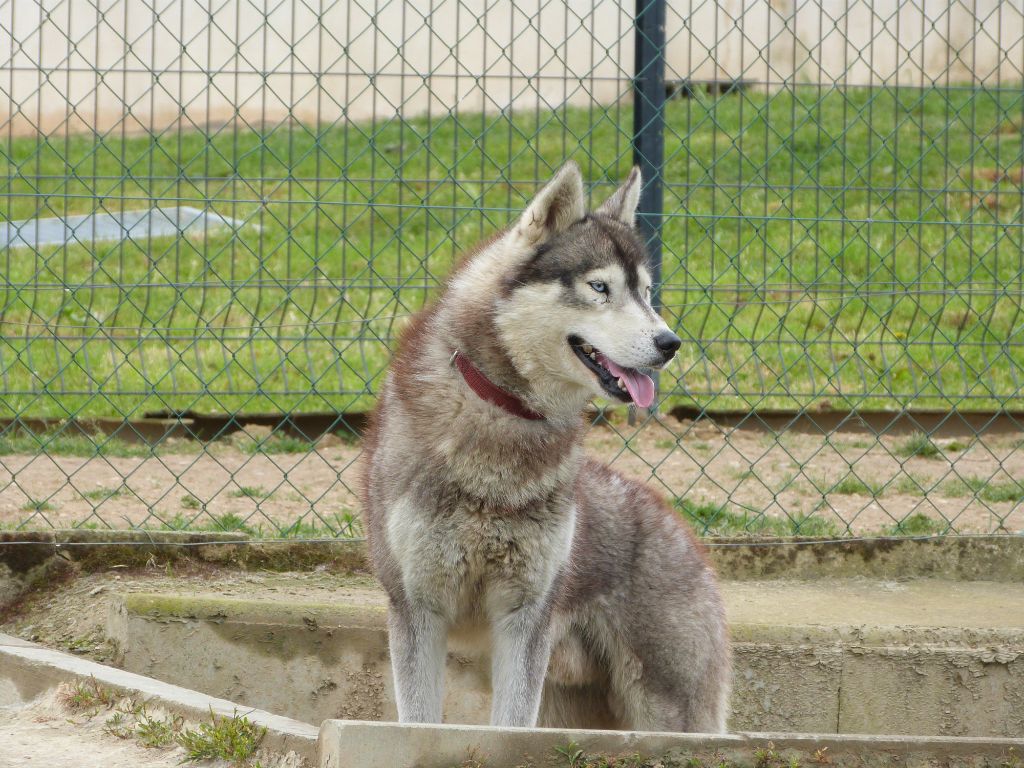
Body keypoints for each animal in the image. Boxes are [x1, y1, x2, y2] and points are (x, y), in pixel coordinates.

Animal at [360, 162, 729, 733]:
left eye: (646, 293)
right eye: (599, 287)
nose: (670, 343)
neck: (505, 417)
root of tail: (682, 530)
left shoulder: (524, 619)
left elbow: (510, 728)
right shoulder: (418, 610)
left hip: (668, 716)